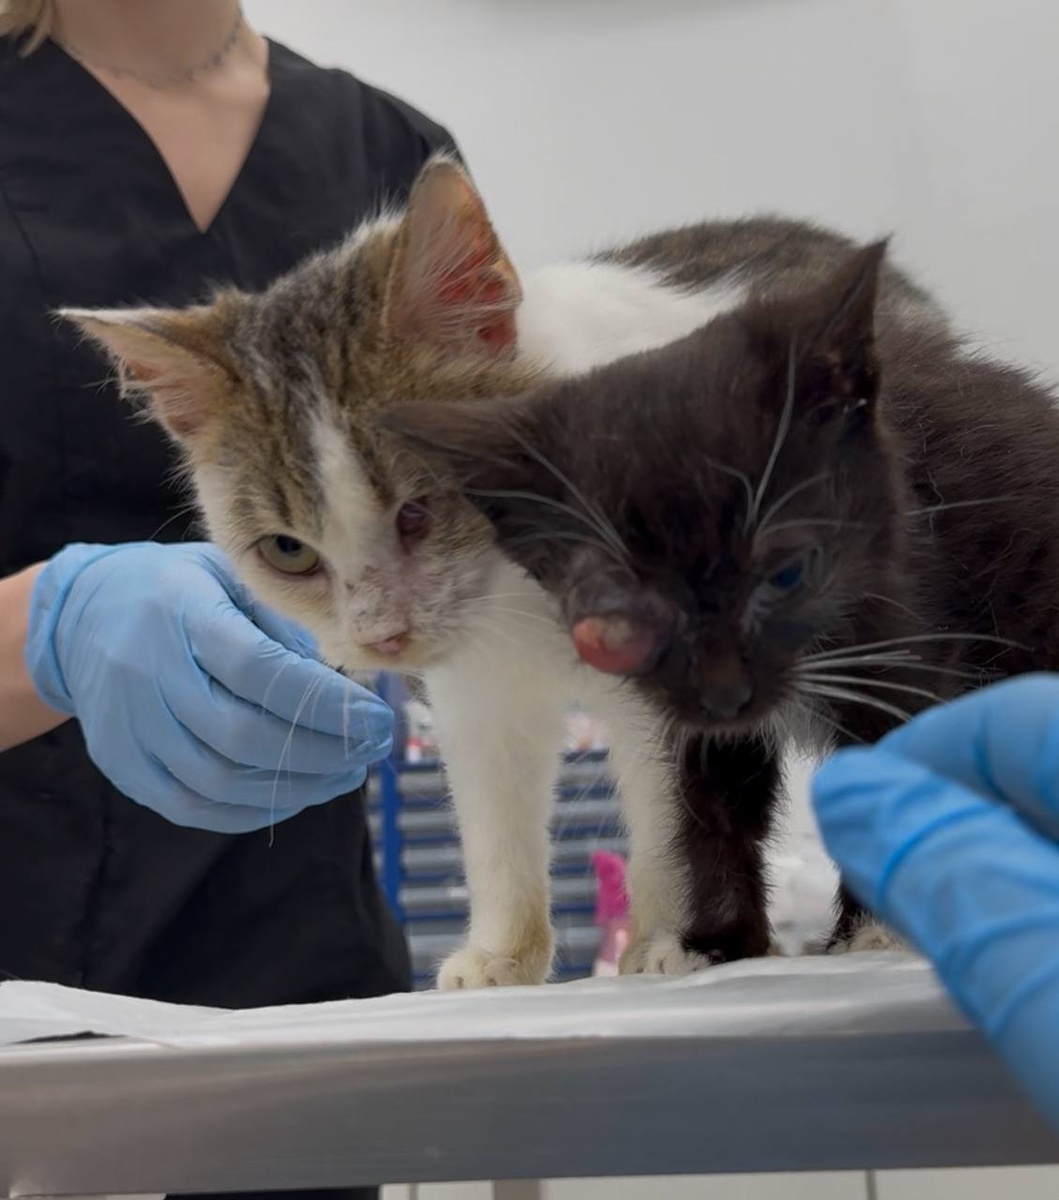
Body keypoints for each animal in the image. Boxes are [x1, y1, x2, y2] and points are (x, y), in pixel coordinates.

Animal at [62, 156, 946, 986]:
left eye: (420, 508)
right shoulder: (476, 693)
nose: (382, 637)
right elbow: (493, 809)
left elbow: (672, 796)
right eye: (288, 550)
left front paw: (667, 939)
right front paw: (500, 954)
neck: (518, 591)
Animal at [382, 238, 1059, 957]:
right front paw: (712, 940)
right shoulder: (684, 711)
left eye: (786, 574)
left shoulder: (903, 620)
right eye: (618, 614)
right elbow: (711, 799)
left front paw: (878, 929)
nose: (725, 693)